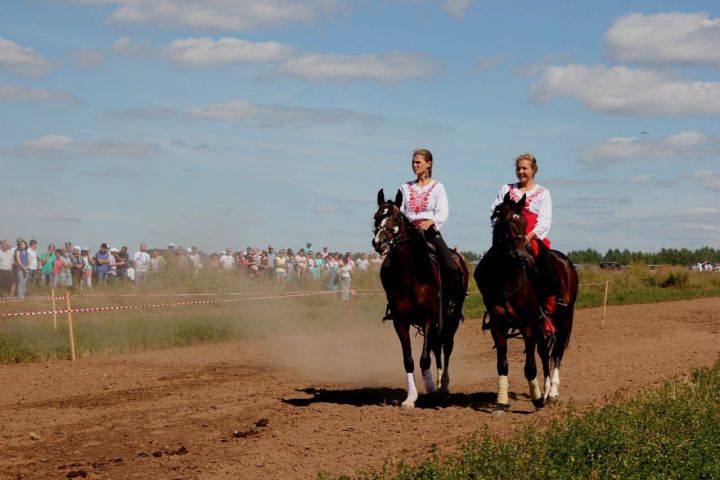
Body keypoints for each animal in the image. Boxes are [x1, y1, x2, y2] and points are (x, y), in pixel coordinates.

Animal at [374, 189, 470, 406]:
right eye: (376, 217)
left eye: (395, 218)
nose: (379, 243)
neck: (411, 275)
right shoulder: (400, 321)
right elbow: (409, 360)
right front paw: (411, 398)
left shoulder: (428, 317)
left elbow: (424, 359)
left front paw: (432, 390)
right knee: (436, 347)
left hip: (451, 319)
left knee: (447, 347)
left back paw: (444, 388)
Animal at [472, 191, 580, 416]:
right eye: (505, 222)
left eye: (522, 223)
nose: (520, 254)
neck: (506, 279)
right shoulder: (499, 325)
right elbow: (503, 365)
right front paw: (501, 403)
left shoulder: (528, 324)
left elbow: (530, 366)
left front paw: (537, 399)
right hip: (542, 326)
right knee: (544, 353)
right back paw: (546, 390)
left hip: (564, 318)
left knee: (557, 352)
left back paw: (552, 394)